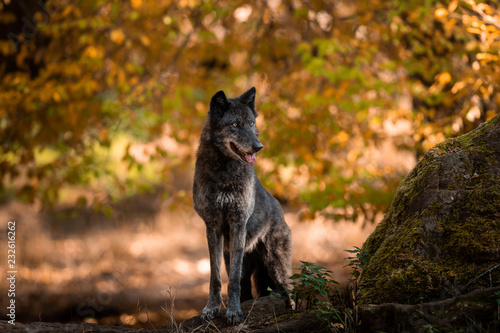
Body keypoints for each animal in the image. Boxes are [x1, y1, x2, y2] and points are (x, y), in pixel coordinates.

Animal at [192, 87, 292, 322]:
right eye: (235, 124)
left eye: (252, 123)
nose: (259, 147)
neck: (224, 170)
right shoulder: (213, 226)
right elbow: (215, 277)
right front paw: (212, 308)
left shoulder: (238, 223)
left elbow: (233, 282)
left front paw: (234, 312)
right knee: (245, 288)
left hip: (277, 268)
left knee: (291, 291)